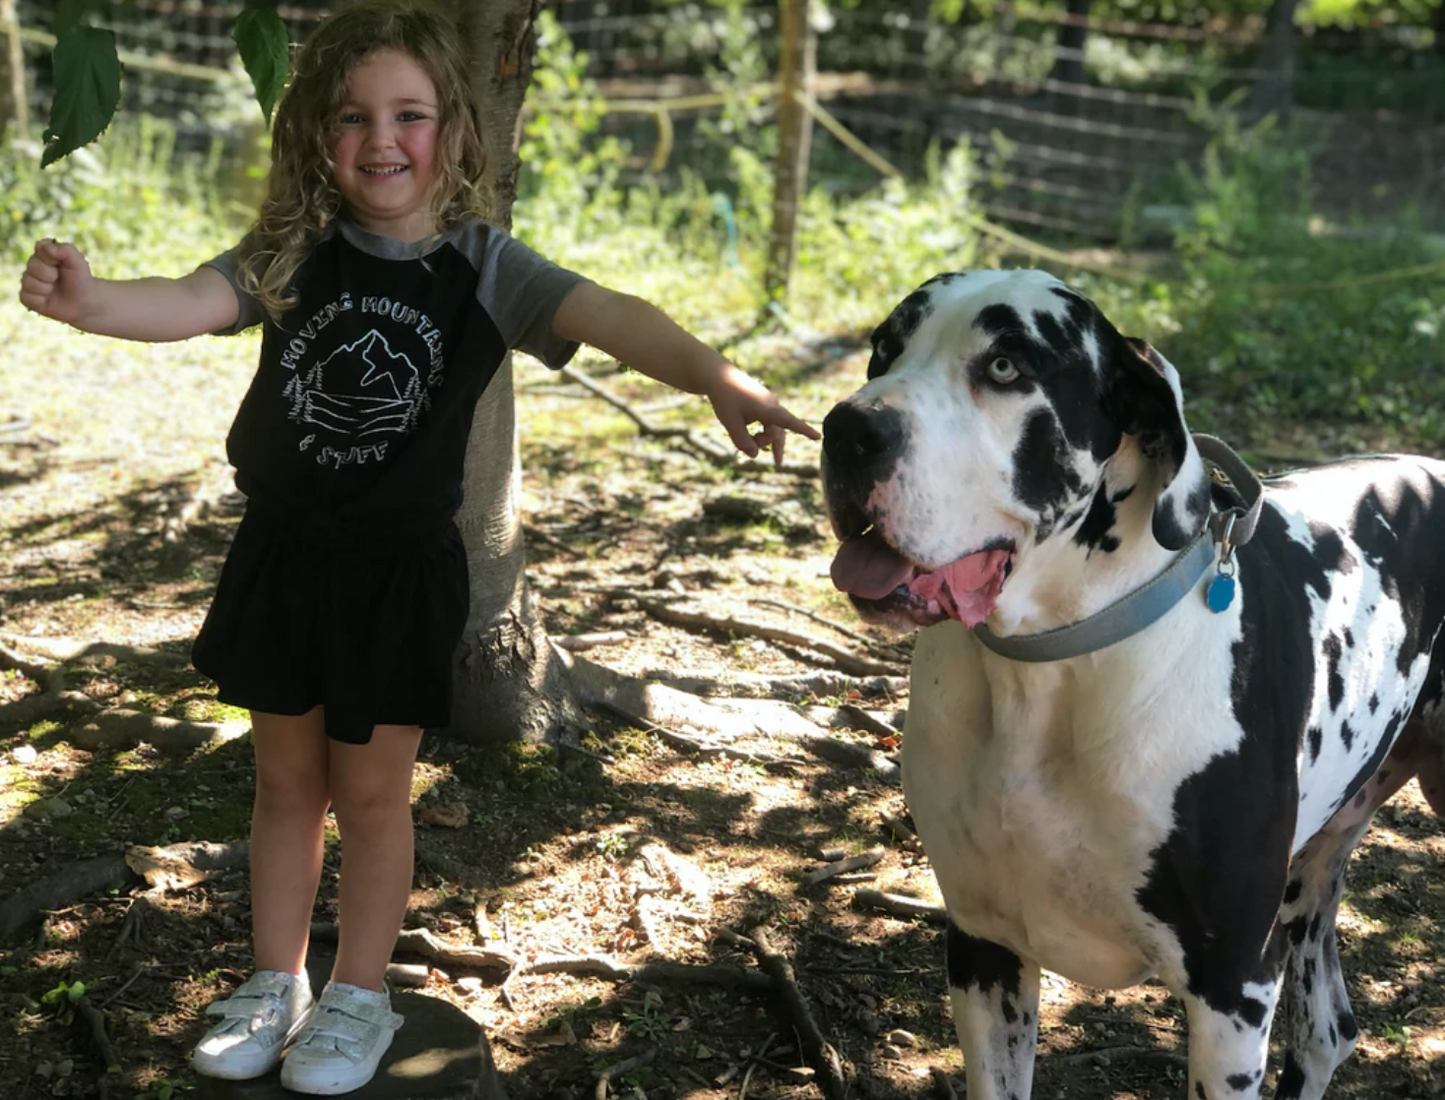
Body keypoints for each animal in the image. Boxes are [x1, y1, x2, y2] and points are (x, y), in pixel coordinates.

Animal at [820, 268, 1445, 1098]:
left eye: (1006, 367)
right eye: (884, 350)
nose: (844, 430)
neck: (1044, 671)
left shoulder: (1231, 987)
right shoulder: (983, 951)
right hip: (1313, 871)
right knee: (1326, 1033)